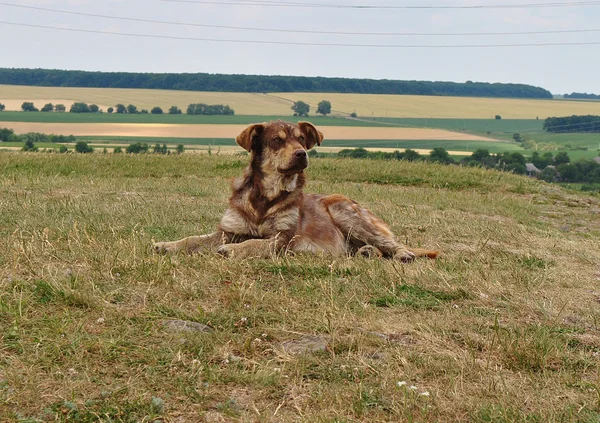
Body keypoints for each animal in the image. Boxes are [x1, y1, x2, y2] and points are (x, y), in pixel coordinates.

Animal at [152, 120, 438, 262]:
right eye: (277, 140)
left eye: (301, 139)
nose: (302, 154)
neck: (265, 195)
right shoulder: (228, 230)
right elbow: (193, 239)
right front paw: (167, 244)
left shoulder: (283, 237)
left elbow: (256, 244)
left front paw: (233, 250)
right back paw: (366, 252)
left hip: (346, 211)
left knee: (390, 243)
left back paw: (402, 254)